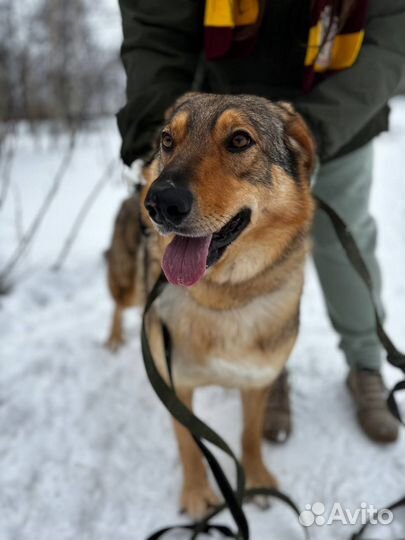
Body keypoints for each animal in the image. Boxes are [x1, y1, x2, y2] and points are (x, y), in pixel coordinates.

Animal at [105, 93, 314, 520]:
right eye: (168, 140)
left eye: (239, 140)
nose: (160, 202)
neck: (222, 299)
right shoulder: (176, 386)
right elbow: (190, 446)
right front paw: (199, 494)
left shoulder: (257, 381)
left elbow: (249, 435)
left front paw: (257, 479)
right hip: (129, 286)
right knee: (118, 304)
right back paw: (115, 338)